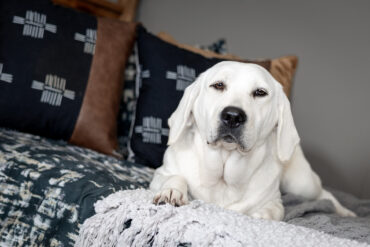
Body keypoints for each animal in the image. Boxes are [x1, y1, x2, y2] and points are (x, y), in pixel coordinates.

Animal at [150, 61, 356, 220]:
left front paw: (262, 215)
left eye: (260, 92)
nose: (233, 116)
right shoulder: (161, 174)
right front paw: (172, 192)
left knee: (325, 195)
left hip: (302, 184)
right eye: (218, 85)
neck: (224, 173)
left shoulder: (274, 200)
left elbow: (274, 210)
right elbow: (175, 177)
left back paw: (345, 212)